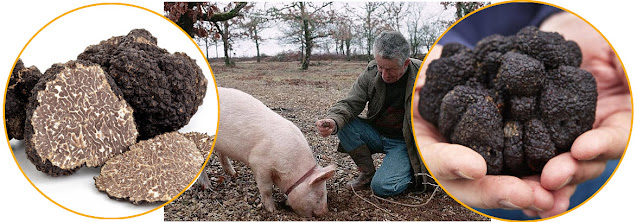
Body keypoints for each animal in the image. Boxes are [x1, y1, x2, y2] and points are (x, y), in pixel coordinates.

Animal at [201, 87, 336, 217]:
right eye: (319, 194)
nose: (325, 213)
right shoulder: (259, 163)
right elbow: (266, 189)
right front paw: (273, 210)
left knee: (220, 154)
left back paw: (234, 174)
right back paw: (208, 187)